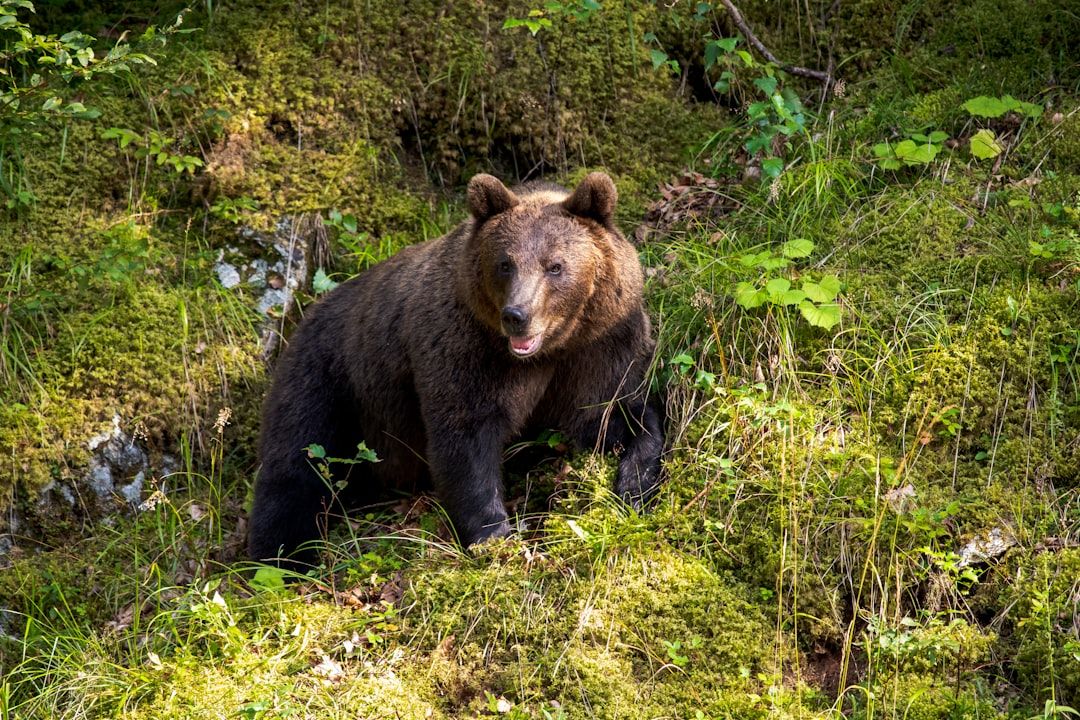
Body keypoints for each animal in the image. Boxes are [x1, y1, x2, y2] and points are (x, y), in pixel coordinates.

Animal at [248, 172, 664, 566]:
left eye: (555, 266)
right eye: (505, 264)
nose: (517, 315)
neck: (548, 350)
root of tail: (309, 313)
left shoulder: (599, 346)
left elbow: (609, 415)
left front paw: (634, 485)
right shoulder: (467, 348)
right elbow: (466, 437)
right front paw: (495, 536)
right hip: (329, 377)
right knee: (296, 463)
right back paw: (281, 557)